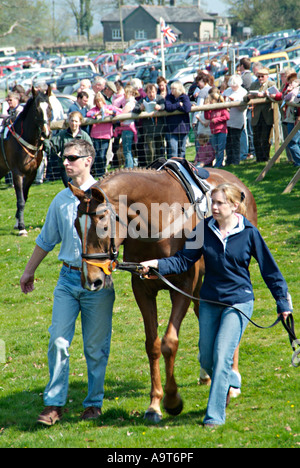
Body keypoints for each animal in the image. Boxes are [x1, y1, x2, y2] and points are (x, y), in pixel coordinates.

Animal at [0, 86, 51, 236]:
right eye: (37, 109)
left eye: (49, 108)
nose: (46, 133)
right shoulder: (17, 173)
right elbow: (20, 200)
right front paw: (22, 227)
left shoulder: (31, 173)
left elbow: (24, 196)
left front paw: (18, 223)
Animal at [70, 166, 255, 422]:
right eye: (76, 226)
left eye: (103, 226)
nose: (91, 279)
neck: (158, 219)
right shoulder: (143, 289)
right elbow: (153, 345)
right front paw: (155, 404)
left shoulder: (183, 287)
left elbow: (169, 343)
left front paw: (172, 400)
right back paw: (207, 374)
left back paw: (233, 380)